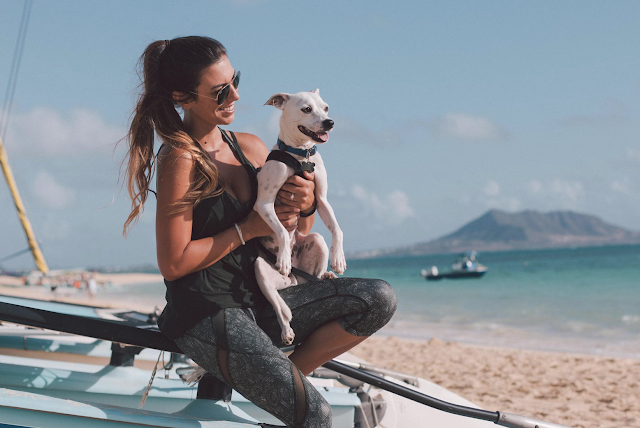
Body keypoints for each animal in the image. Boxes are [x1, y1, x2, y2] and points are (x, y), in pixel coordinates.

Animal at [252, 89, 348, 344]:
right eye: (306, 109)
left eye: (326, 108)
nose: (330, 122)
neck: (302, 157)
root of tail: (294, 279)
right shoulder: (264, 203)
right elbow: (283, 233)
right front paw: (284, 257)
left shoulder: (321, 200)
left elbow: (337, 229)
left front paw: (339, 259)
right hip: (260, 270)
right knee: (277, 304)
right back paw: (286, 331)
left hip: (316, 241)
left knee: (313, 273)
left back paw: (326, 275)